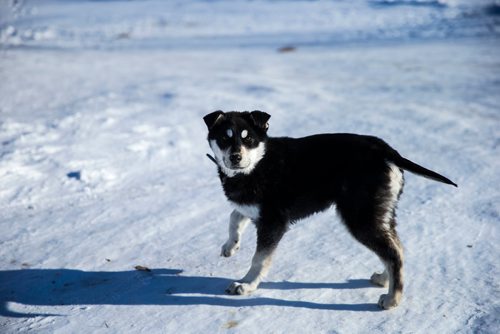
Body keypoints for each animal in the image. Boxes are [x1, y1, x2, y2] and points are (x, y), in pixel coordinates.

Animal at [203, 111, 458, 310]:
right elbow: (234, 216)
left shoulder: (273, 222)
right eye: (224, 139)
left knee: (392, 253)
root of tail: (387, 151)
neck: (259, 163)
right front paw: (230, 246)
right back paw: (384, 280)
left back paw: (392, 300)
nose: (236, 158)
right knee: (397, 249)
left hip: (360, 217)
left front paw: (246, 284)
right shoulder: (255, 209)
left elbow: (259, 258)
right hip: (379, 211)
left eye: (249, 140)